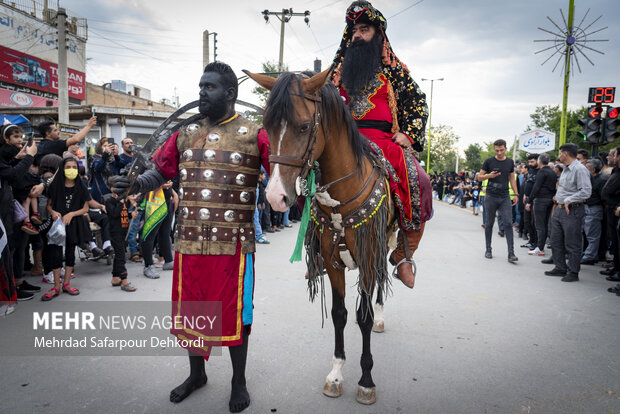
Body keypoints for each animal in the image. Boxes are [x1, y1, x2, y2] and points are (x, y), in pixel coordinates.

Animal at [245, 68, 394, 404]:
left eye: (303, 126)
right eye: (267, 127)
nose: (274, 198)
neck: (341, 202)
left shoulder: (367, 259)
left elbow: (363, 317)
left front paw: (366, 380)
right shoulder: (332, 261)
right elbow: (339, 314)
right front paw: (336, 374)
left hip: (382, 248)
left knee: (380, 285)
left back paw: (381, 316)